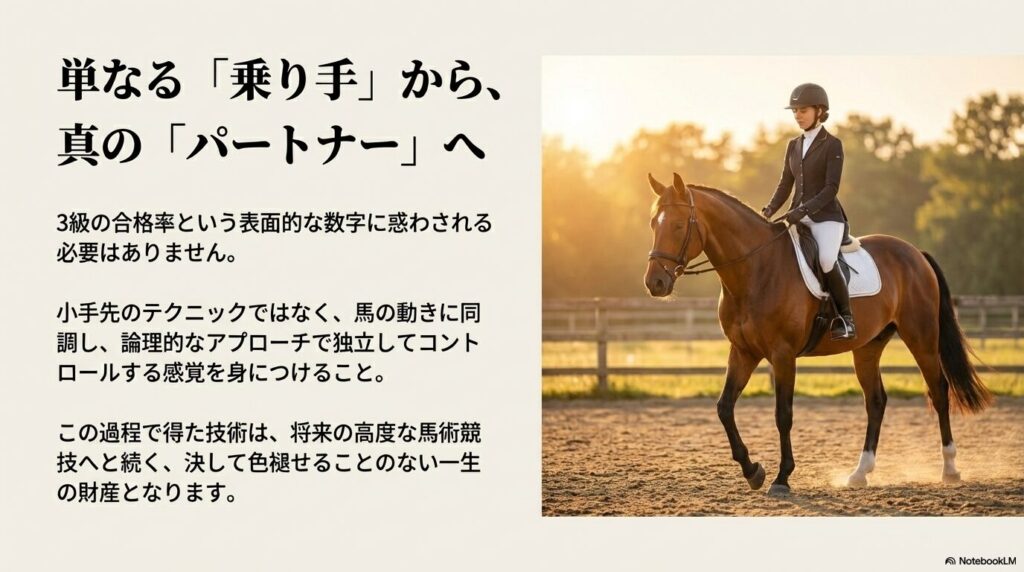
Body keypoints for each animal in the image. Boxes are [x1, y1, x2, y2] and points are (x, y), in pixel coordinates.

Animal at [644, 172, 991, 495]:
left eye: (678, 225)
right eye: (652, 224)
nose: (654, 283)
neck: (756, 270)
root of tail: (915, 253)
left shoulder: (783, 355)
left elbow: (783, 414)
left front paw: (782, 478)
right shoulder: (743, 351)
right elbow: (724, 407)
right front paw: (753, 471)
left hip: (921, 337)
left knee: (939, 391)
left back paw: (949, 468)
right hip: (868, 346)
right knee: (876, 400)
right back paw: (860, 473)